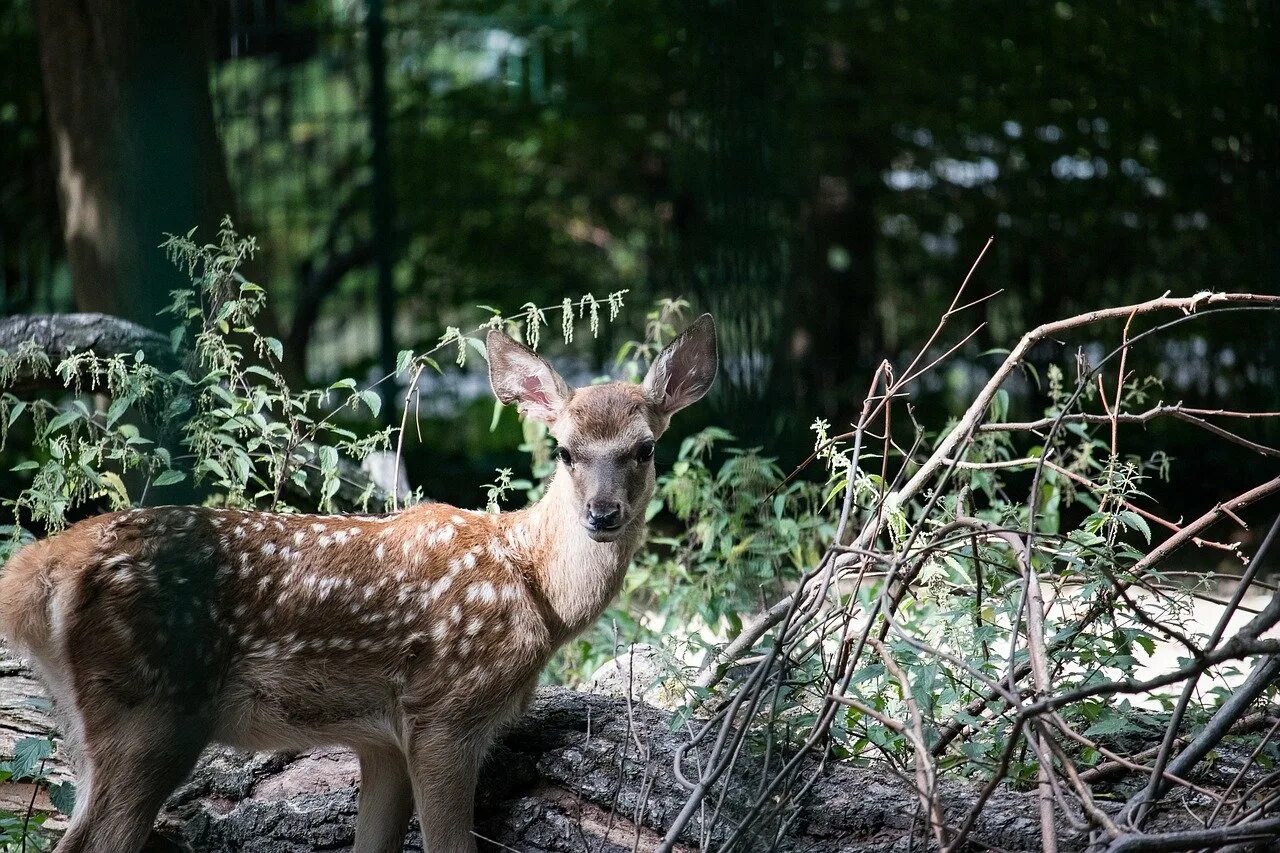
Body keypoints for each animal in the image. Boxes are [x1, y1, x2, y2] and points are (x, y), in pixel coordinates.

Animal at [0, 312, 721, 850]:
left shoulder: (381, 740)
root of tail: (44, 565)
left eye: (645, 447)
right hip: (151, 711)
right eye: (566, 451)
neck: (533, 584)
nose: (602, 514)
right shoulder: (443, 713)